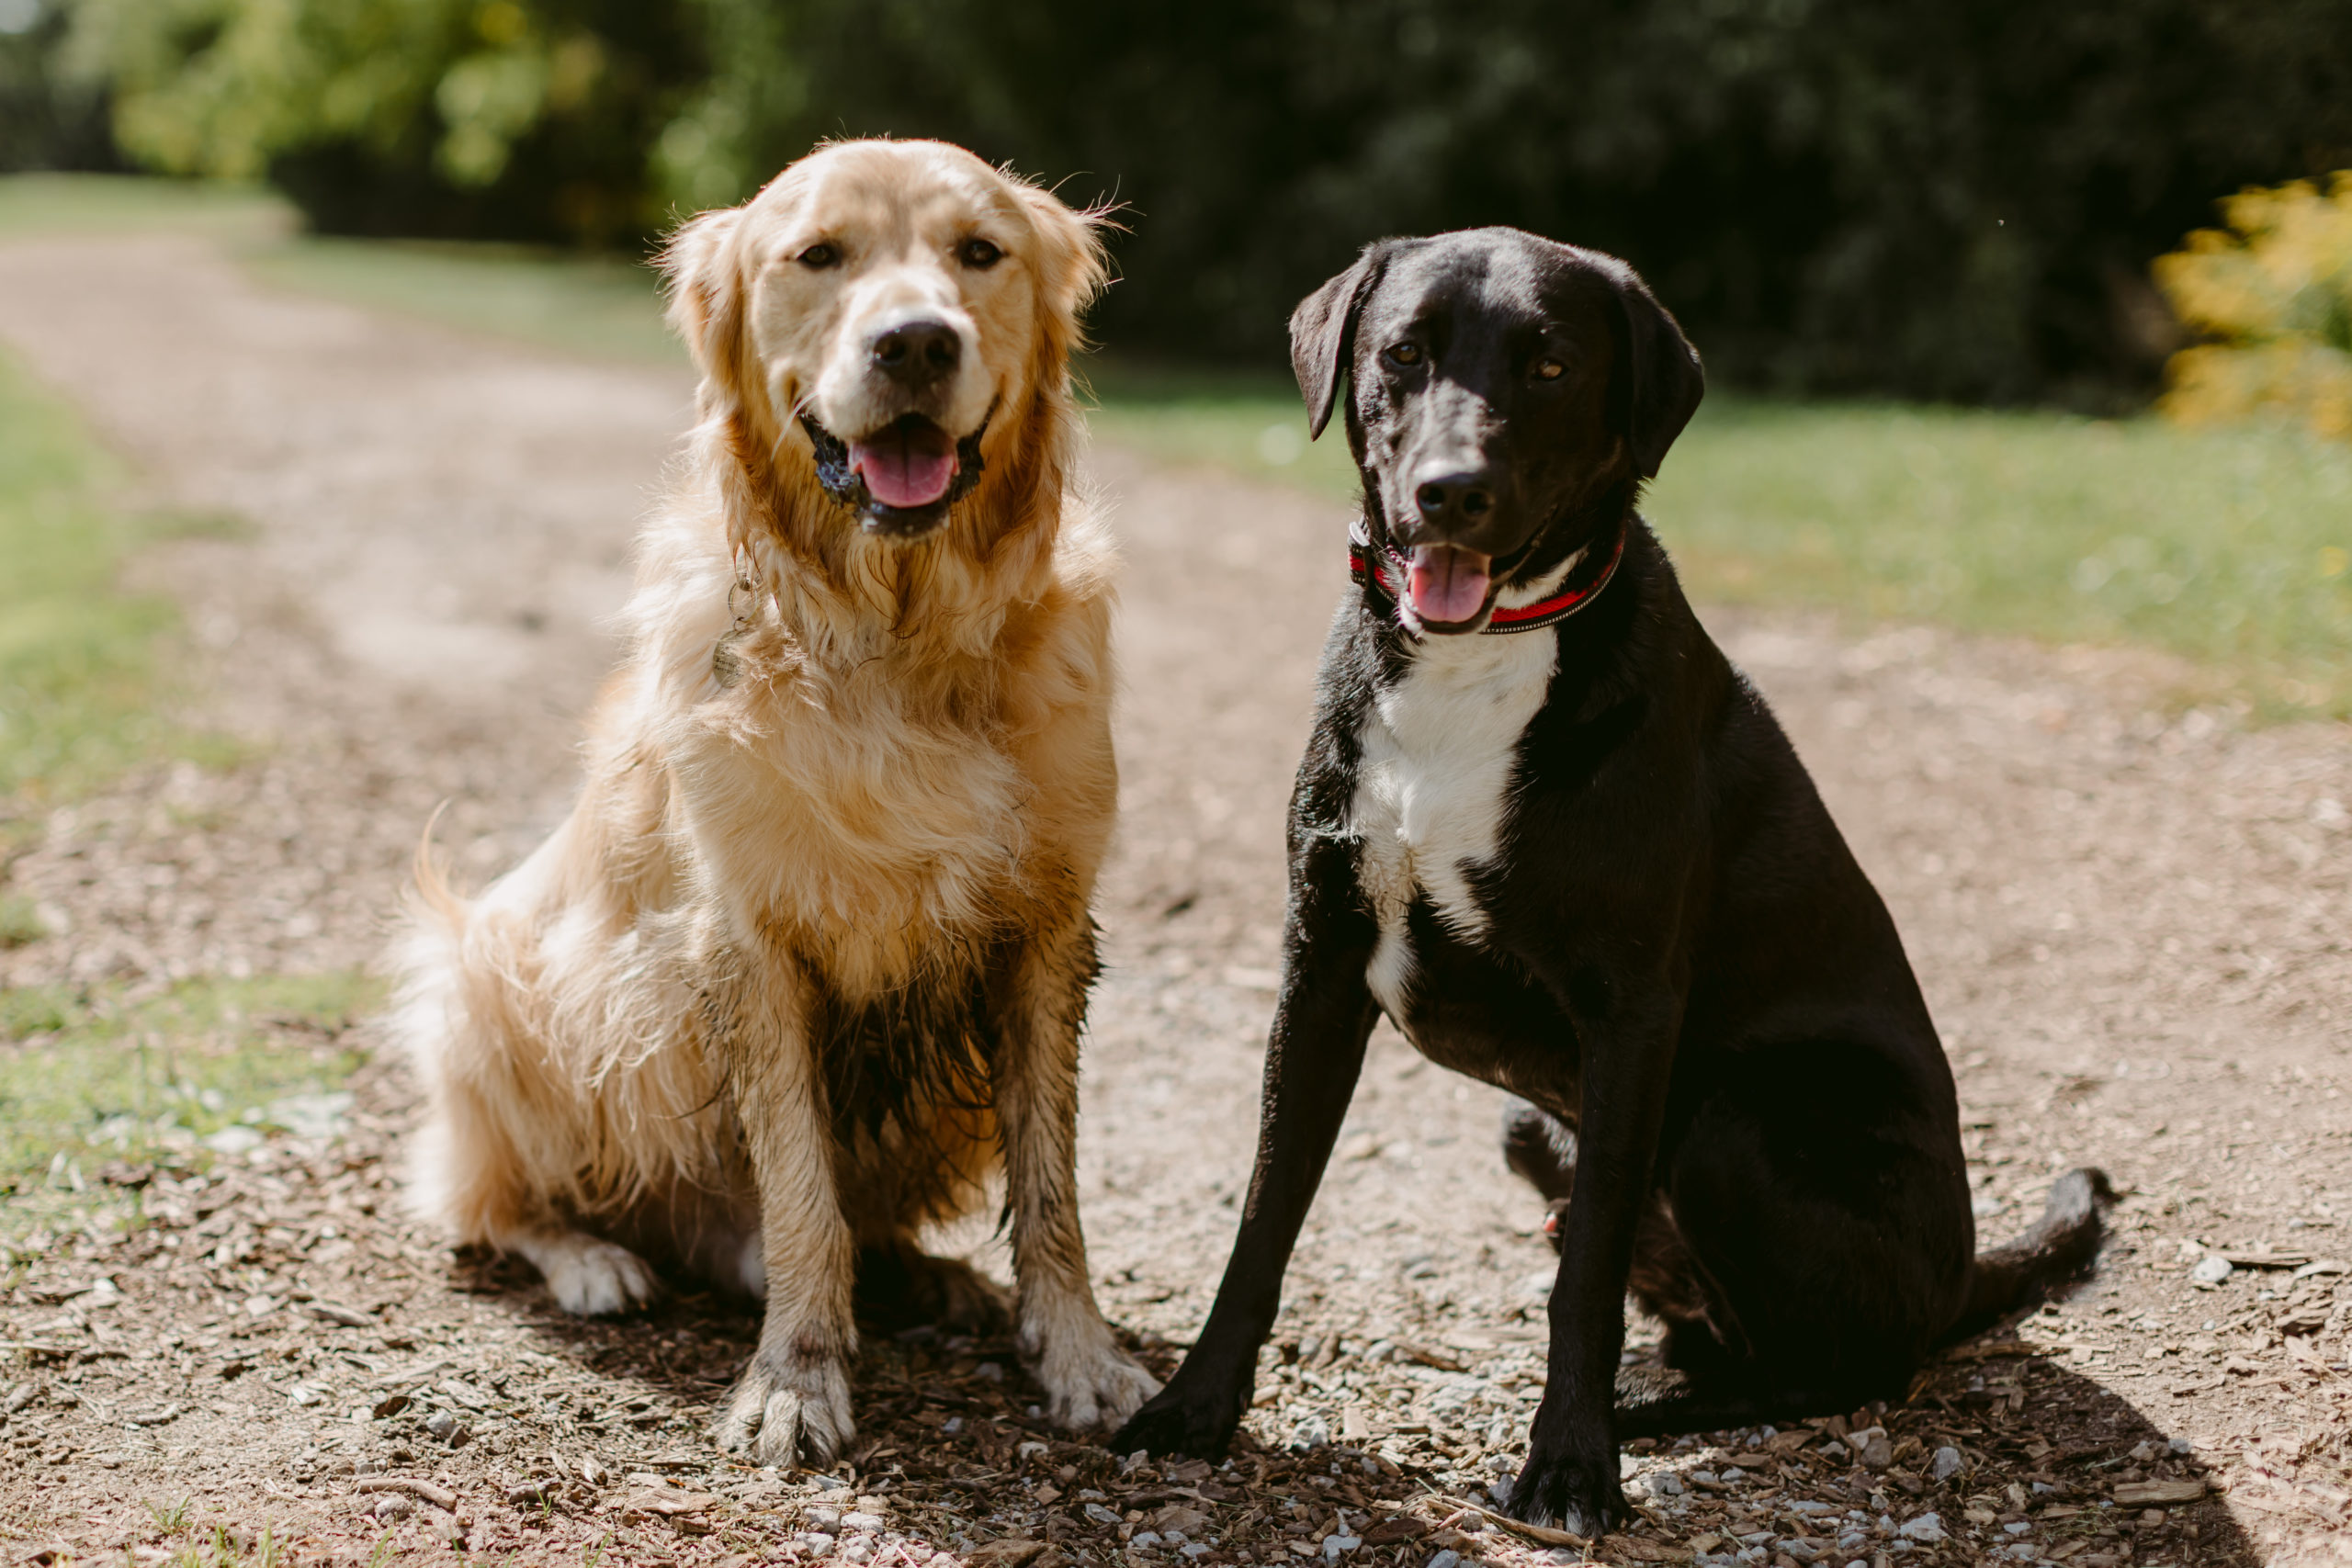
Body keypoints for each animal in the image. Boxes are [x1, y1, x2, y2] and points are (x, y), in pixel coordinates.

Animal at [1105, 230, 2117, 1532]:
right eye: (1403, 354)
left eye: (1549, 364)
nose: (1449, 491)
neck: (1474, 662)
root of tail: (1958, 1279)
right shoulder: (1319, 966)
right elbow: (1264, 1216)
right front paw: (1195, 1407)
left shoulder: (1630, 1011)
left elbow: (1579, 1277)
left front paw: (1571, 1467)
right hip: (1538, 1125)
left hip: (1737, 1122)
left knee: (1833, 1367)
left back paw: (1647, 1411)